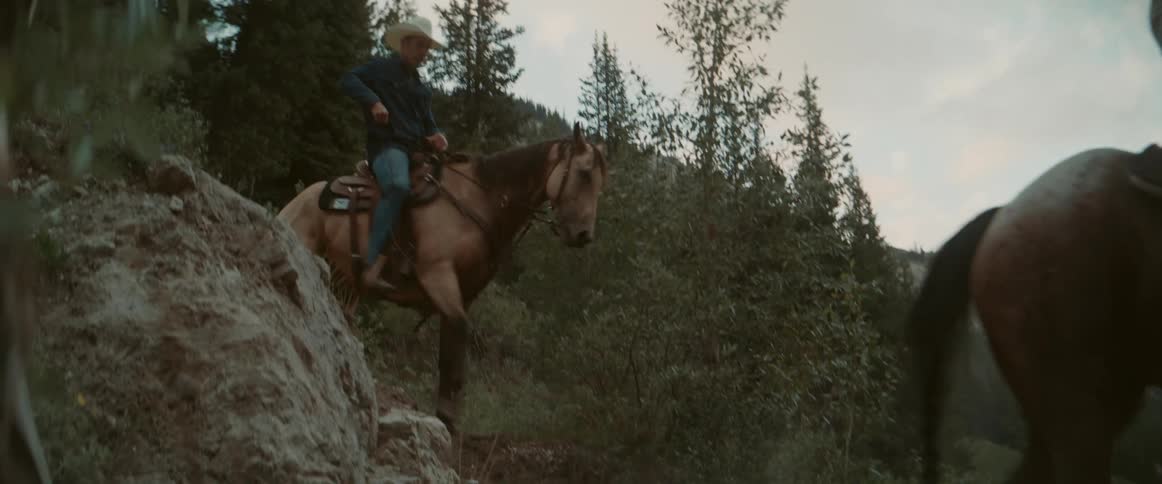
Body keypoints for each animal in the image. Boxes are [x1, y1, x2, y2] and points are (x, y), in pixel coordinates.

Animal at [276, 122, 609, 432]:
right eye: (583, 174)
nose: (584, 235)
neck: (479, 200)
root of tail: (302, 198)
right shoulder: (438, 276)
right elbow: (456, 341)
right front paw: (446, 415)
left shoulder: (464, 292)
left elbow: (452, 349)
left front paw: (448, 416)